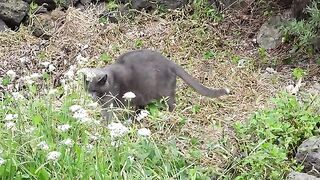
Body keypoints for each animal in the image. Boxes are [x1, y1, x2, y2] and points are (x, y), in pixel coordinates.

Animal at [81, 49, 229, 119]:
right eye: (88, 89)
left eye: (95, 90)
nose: (90, 96)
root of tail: (171, 63)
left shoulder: (109, 102)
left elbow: (108, 115)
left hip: (164, 92)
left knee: (172, 104)